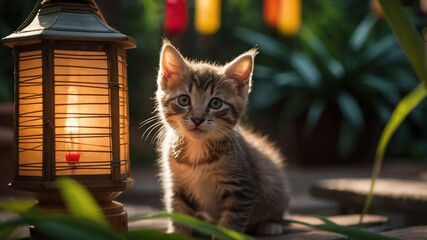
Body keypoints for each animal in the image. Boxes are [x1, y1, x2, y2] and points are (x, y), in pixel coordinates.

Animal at [152, 39, 290, 236]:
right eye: (184, 100)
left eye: (216, 103)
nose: (197, 119)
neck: (196, 150)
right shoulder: (177, 185)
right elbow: (179, 216)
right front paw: (179, 234)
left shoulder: (242, 189)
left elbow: (231, 222)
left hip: (276, 188)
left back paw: (271, 224)